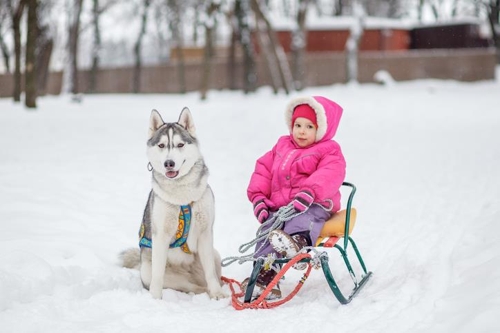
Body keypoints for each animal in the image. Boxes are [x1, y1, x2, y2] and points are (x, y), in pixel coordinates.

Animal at [122, 107, 228, 300]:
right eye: (161, 145)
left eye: (180, 145)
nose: (169, 163)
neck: (182, 198)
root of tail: (187, 271)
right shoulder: (161, 236)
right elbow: (158, 275)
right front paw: (155, 299)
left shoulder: (205, 233)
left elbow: (210, 272)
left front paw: (217, 294)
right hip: (148, 270)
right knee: (188, 286)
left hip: (215, 254)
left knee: (210, 277)